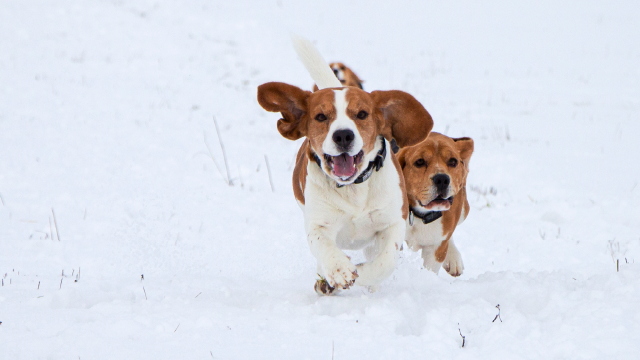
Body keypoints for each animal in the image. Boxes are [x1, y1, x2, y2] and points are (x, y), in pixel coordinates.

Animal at [258, 37, 432, 296]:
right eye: (321, 117)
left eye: (362, 114)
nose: (343, 135)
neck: (353, 188)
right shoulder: (318, 224)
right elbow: (324, 247)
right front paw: (339, 271)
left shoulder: (392, 222)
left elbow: (385, 261)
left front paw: (363, 275)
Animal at [398, 132, 472, 276]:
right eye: (420, 162)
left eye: (453, 161)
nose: (442, 179)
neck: (418, 215)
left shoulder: (435, 248)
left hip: (464, 211)